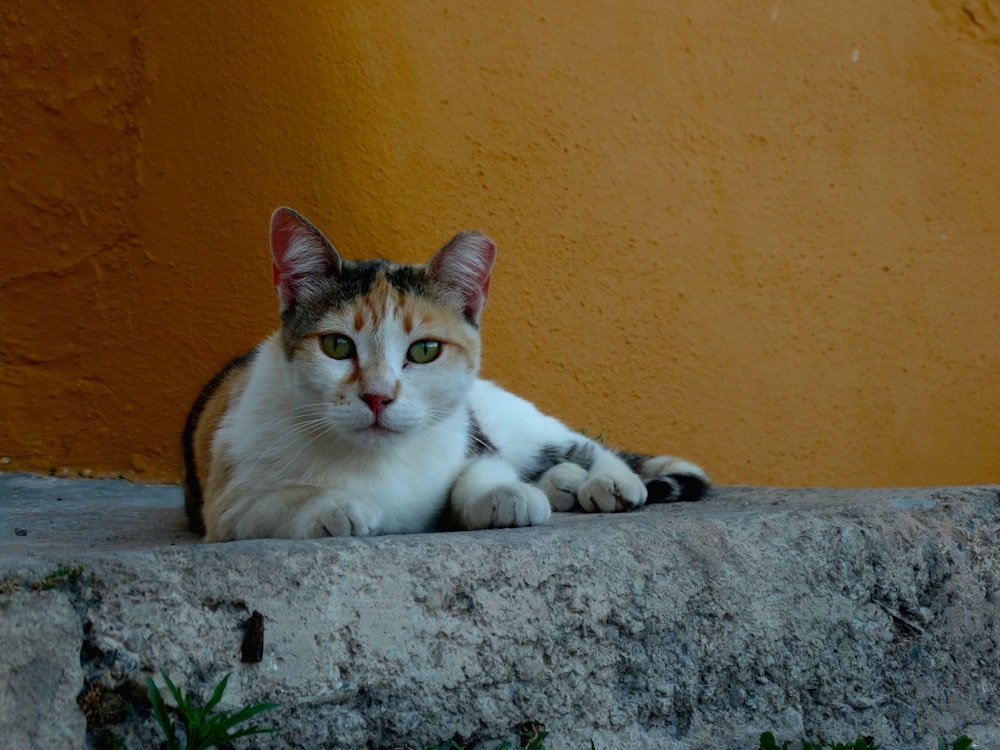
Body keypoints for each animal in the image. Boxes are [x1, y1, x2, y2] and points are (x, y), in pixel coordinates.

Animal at [182, 209, 712, 544]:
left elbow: (479, 470)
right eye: (336, 346)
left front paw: (501, 495)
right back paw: (561, 484)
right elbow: (271, 504)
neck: (379, 461)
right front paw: (333, 506)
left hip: (511, 419)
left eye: (424, 350)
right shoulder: (225, 501)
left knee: (584, 443)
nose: (378, 397)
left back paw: (606, 481)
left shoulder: (472, 437)